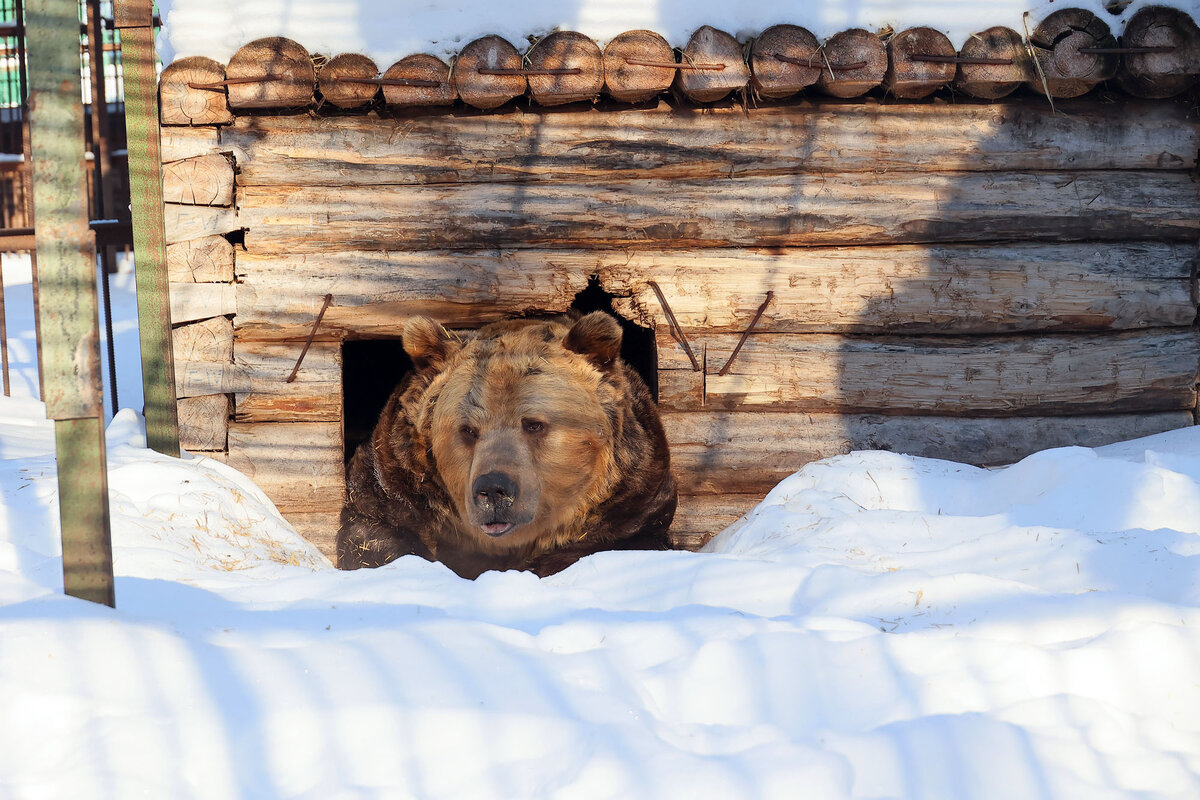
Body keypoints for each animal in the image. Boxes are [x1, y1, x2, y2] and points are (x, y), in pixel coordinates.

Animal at [338, 309, 676, 578]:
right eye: (468, 430)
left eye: (533, 424)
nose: (493, 489)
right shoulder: (394, 483)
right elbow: (371, 538)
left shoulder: (634, 500)